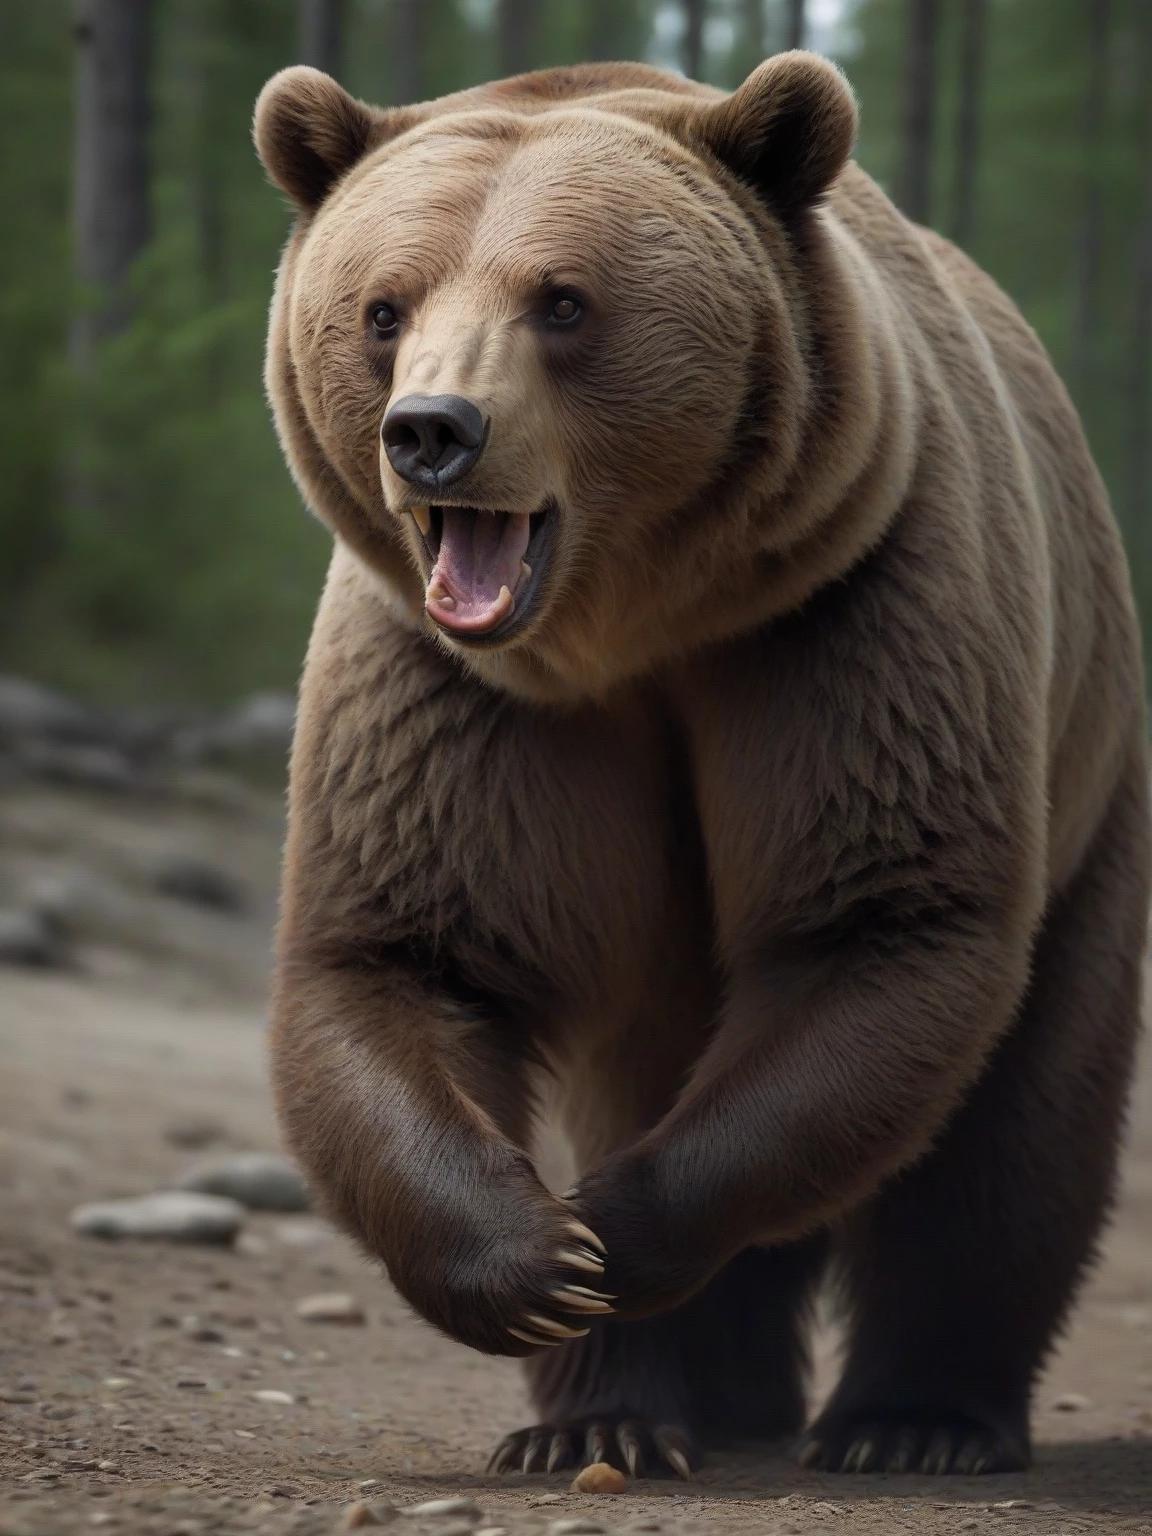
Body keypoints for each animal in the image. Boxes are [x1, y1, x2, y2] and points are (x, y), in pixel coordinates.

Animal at [253, 52, 1150, 1480]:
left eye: (563, 300)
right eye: (383, 307)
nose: (434, 431)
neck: (639, 627)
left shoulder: (847, 612)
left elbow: (880, 920)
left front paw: (611, 1239)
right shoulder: (456, 692)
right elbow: (405, 950)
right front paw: (536, 1262)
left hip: (1092, 792)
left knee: (1018, 1129)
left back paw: (916, 1419)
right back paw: (615, 1417)